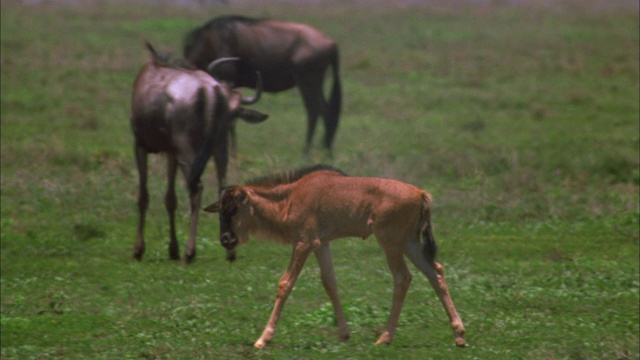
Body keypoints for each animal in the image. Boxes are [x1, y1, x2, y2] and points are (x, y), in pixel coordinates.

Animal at [132, 42, 268, 262]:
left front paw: (138, 249)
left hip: (187, 150)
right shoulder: (171, 152)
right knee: (222, 186)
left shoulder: (140, 145)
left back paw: (190, 251)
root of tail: (210, 92)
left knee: (196, 188)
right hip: (218, 148)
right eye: (230, 113)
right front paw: (172, 249)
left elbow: (143, 196)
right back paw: (230, 251)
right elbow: (170, 198)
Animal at [204, 166, 464, 348]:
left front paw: (263, 339)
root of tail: (420, 193)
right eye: (220, 209)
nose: (225, 239)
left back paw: (385, 337)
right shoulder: (322, 244)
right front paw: (344, 333)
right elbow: (330, 282)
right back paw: (459, 334)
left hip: (390, 242)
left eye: (233, 208)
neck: (290, 197)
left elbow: (285, 283)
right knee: (435, 271)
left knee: (402, 277)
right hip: (409, 243)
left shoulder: (304, 243)